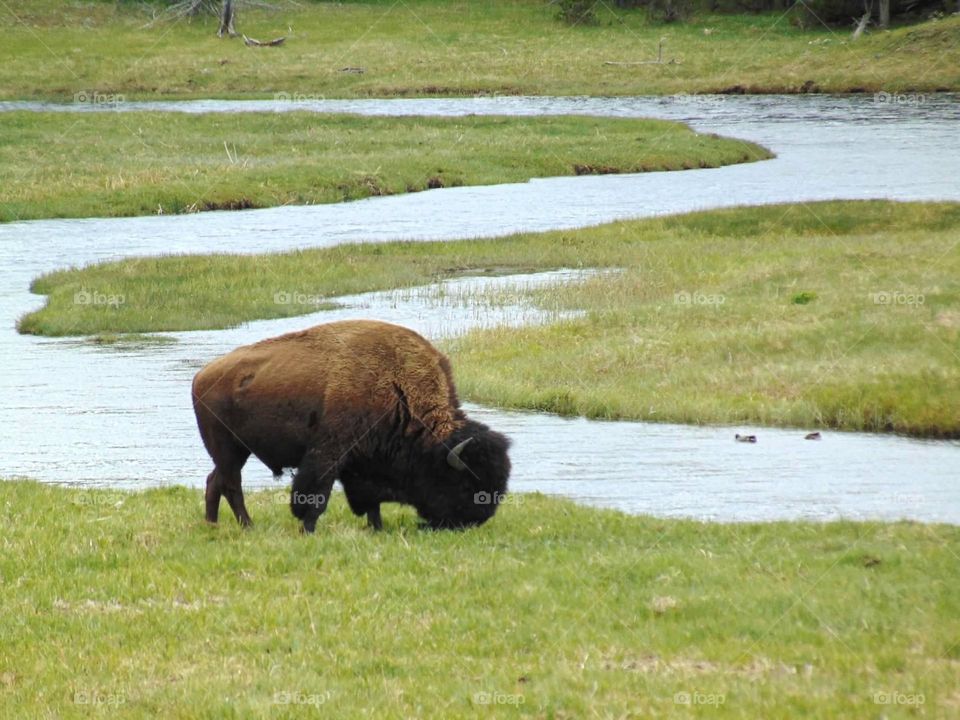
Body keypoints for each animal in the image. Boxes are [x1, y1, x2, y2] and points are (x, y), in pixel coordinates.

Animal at [190, 320, 512, 528]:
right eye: (465, 481)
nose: (476, 519)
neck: (397, 387)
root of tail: (201, 376)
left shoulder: (366, 463)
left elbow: (370, 502)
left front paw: (376, 528)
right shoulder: (328, 454)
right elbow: (315, 496)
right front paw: (307, 529)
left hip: (237, 451)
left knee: (215, 481)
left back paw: (213, 525)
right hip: (228, 449)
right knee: (231, 483)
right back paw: (246, 526)